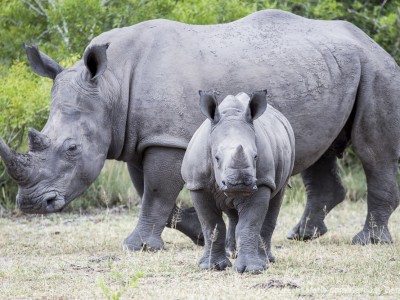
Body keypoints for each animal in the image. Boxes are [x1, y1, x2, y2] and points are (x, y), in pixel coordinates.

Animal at [0, 9, 400, 248]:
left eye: (72, 149)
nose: (32, 205)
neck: (110, 85)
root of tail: (369, 41)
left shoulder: (166, 139)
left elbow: (155, 193)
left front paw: (136, 246)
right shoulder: (140, 137)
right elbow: (148, 192)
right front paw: (200, 237)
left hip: (376, 68)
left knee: (372, 151)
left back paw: (367, 241)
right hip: (333, 69)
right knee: (317, 151)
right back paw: (301, 235)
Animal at [181, 89, 294, 272]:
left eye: (255, 156)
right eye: (216, 158)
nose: (240, 183)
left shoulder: (262, 181)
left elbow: (249, 224)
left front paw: (252, 269)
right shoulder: (197, 184)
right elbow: (211, 224)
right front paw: (212, 266)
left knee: (277, 198)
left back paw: (266, 260)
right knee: (232, 213)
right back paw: (232, 254)